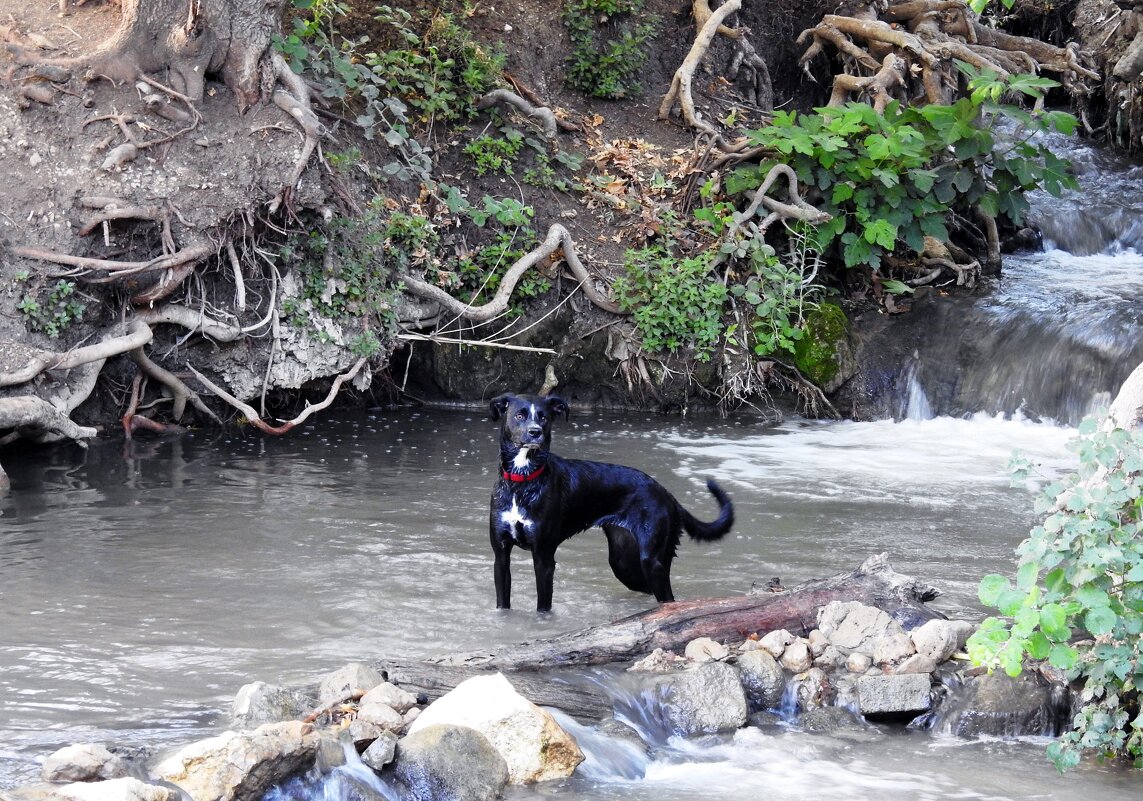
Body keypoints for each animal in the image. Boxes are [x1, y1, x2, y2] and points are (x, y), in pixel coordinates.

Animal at [486, 390, 736, 607]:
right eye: (519, 415)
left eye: (544, 417)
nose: (535, 432)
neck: (522, 480)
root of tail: (667, 494)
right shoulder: (501, 556)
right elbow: (502, 603)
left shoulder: (544, 558)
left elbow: (543, 607)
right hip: (623, 562)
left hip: (652, 560)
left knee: (666, 599)